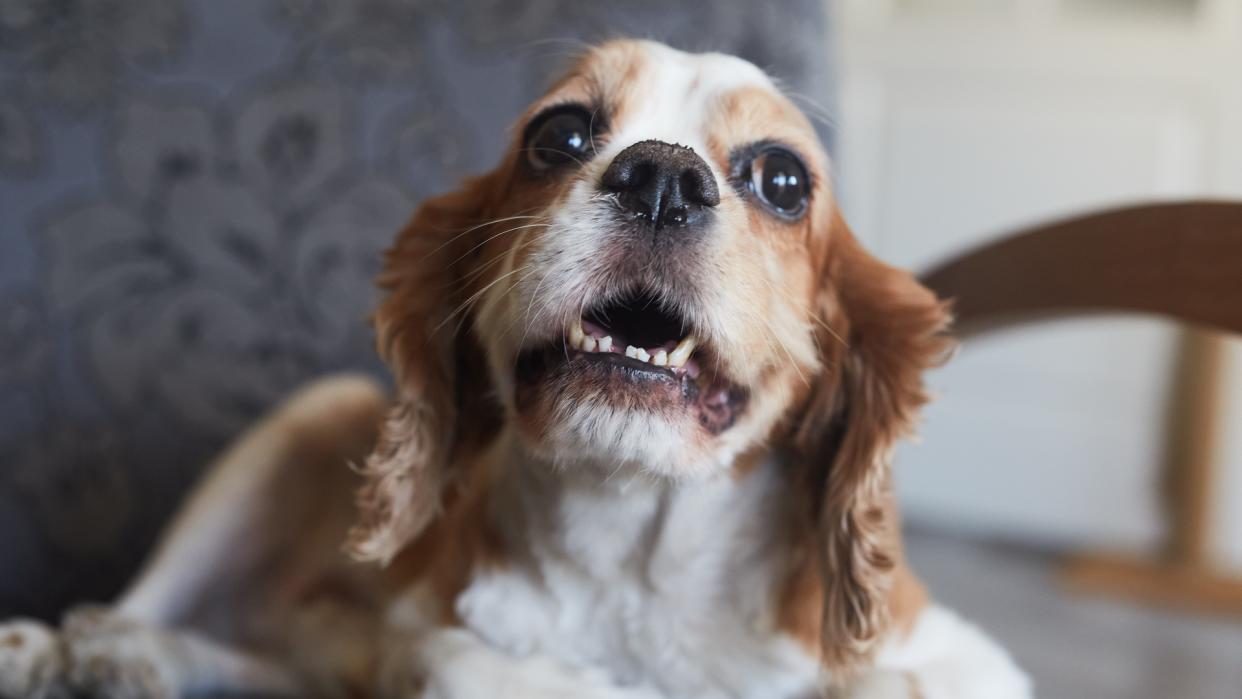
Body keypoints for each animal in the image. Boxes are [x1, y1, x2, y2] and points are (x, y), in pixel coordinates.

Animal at [0, 39, 1028, 699]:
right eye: (559, 135)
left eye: (782, 180)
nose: (661, 176)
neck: (633, 555)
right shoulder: (409, 628)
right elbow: (446, 657)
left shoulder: (969, 662)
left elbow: (894, 683)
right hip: (304, 419)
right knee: (155, 608)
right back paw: (73, 647)